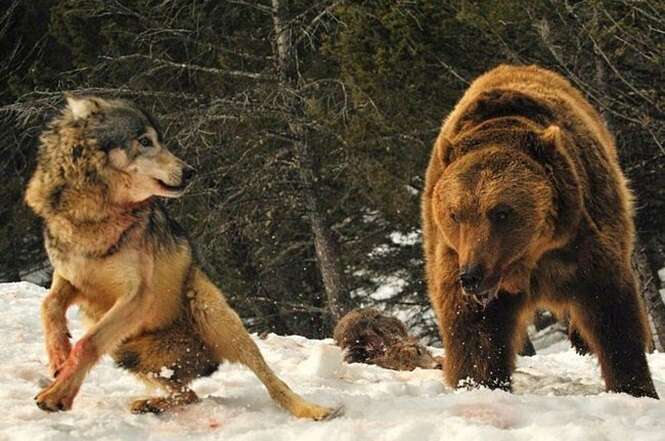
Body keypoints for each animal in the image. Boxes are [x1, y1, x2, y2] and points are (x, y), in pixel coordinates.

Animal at [422, 63, 656, 398]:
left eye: (501, 212)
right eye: (455, 214)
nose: (472, 275)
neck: (529, 256)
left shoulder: (585, 240)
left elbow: (611, 313)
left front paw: (634, 387)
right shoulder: (454, 255)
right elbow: (475, 331)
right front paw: (479, 383)